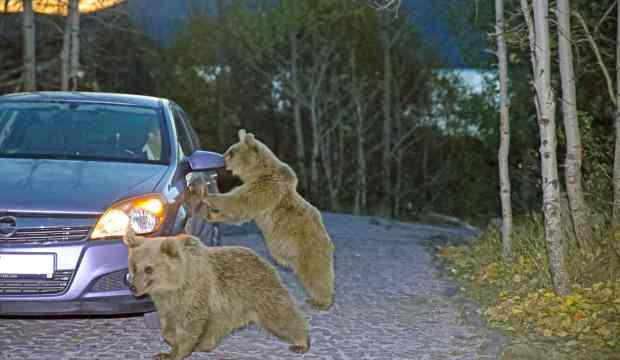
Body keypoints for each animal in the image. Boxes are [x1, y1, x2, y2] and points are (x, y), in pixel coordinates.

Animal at [123, 231, 310, 360]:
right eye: (134, 266)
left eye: (148, 268)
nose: (133, 286)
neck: (174, 284)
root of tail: (263, 260)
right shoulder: (166, 301)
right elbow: (168, 324)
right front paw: (171, 341)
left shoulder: (195, 292)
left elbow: (190, 324)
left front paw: (174, 352)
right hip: (225, 308)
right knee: (215, 326)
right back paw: (204, 344)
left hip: (258, 291)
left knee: (280, 315)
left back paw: (301, 342)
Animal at [199, 129, 334, 310]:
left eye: (231, 151)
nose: (221, 158)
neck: (256, 172)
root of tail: (328, 241)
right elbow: (237, 213)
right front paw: (212, 214)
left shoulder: (263, 189)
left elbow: (238, 203)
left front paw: (207, 195)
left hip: (308, 247)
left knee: (316, 274)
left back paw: (320, 301)